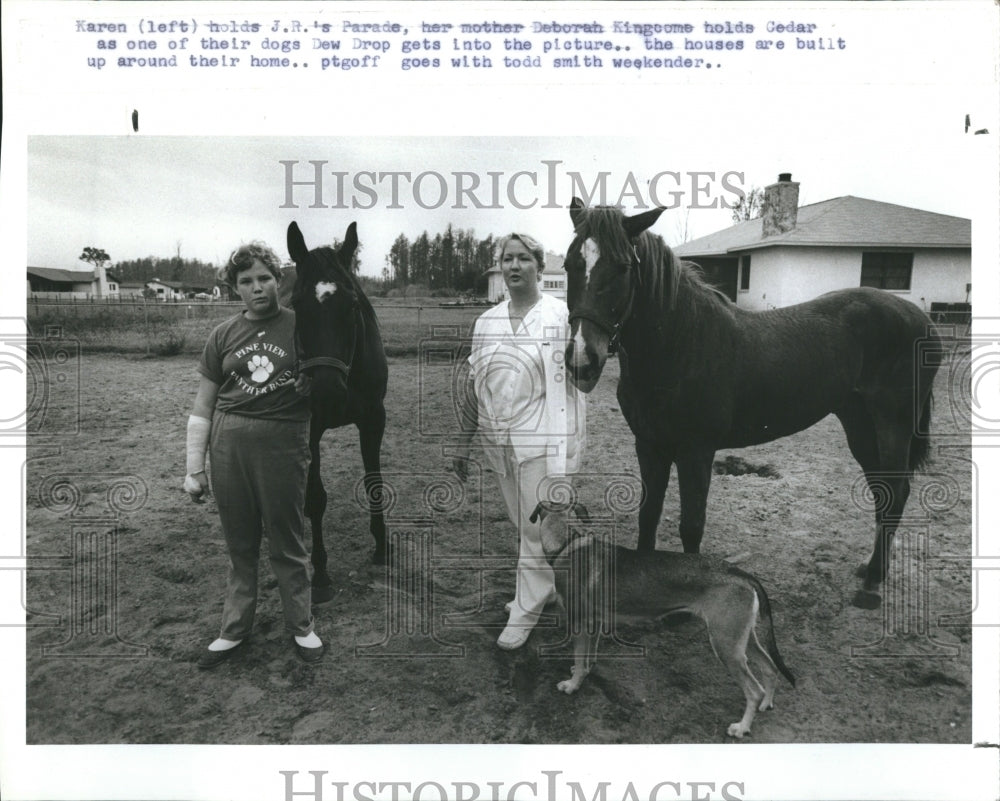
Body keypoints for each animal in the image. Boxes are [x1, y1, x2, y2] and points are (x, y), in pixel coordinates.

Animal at [286, 220, 390, 600]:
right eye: (297, 305)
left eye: (353, 305)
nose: (327, 393)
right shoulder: (310, 427)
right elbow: (316, 498)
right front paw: (320, 573)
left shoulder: (374, 419)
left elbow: (374, 482)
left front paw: (382, 547)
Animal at [532, 504, 796, 736]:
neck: (566, 544)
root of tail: (740, 574)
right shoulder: (593, 623)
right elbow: (588, 655)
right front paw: (584, 671)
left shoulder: (578, 624)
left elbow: (579, 658)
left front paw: (572, 685)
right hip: (742, 638)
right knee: (770, 668)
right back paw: (766, 704)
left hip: (726, 646)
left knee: (754, 690)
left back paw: (742, 728)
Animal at [568, 200, 940, 608]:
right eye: (570, 263)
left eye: (622, 267)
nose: (583, 360)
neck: (683, 344)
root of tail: (922, 320)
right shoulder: (649, 445)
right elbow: (648, 516)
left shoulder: (696, 452)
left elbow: (691, 525)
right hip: (858, 422)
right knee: (882, 491)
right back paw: (872, 570)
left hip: (893, 424)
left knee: (896, 491)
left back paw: (872, 584)